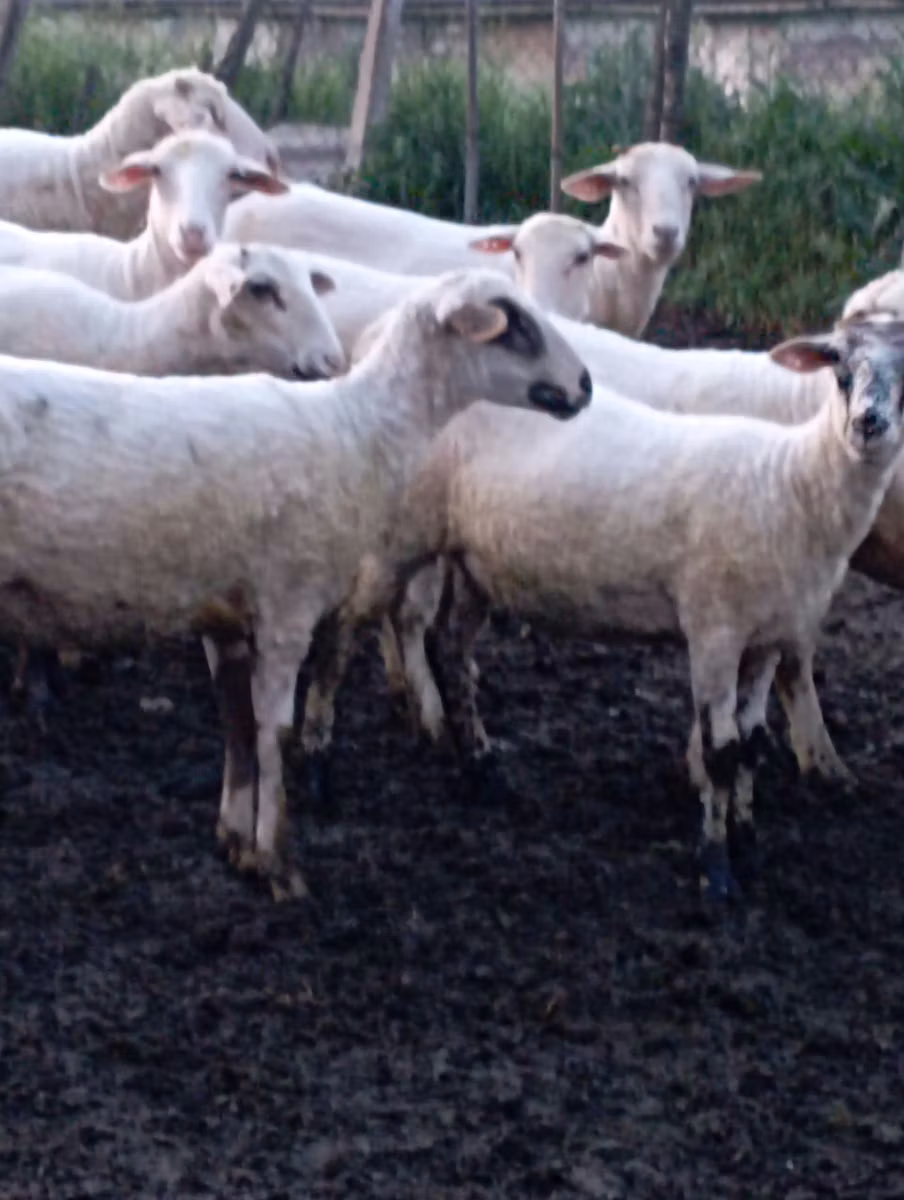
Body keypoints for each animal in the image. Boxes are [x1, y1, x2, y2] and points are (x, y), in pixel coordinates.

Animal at [0, 269, 592, 898]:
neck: (359, 431)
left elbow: (236, 721)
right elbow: (275, 731)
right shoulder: (288, 603)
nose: (584, 385)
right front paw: (279, 864)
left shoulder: (227, 613)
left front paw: (236, 843)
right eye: (513, 323)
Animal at [348, 317, 904, 901]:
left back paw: (482, 769)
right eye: (839, 367)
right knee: (347, 625)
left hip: (475, 561)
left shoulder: (768, 638)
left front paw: (748, 843)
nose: (868, 424)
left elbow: (752, 744)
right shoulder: (714, 629)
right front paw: (716, 869)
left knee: (450, 649)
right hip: (402, 531)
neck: (791, 482)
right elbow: (721, 753)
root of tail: (376, 340)